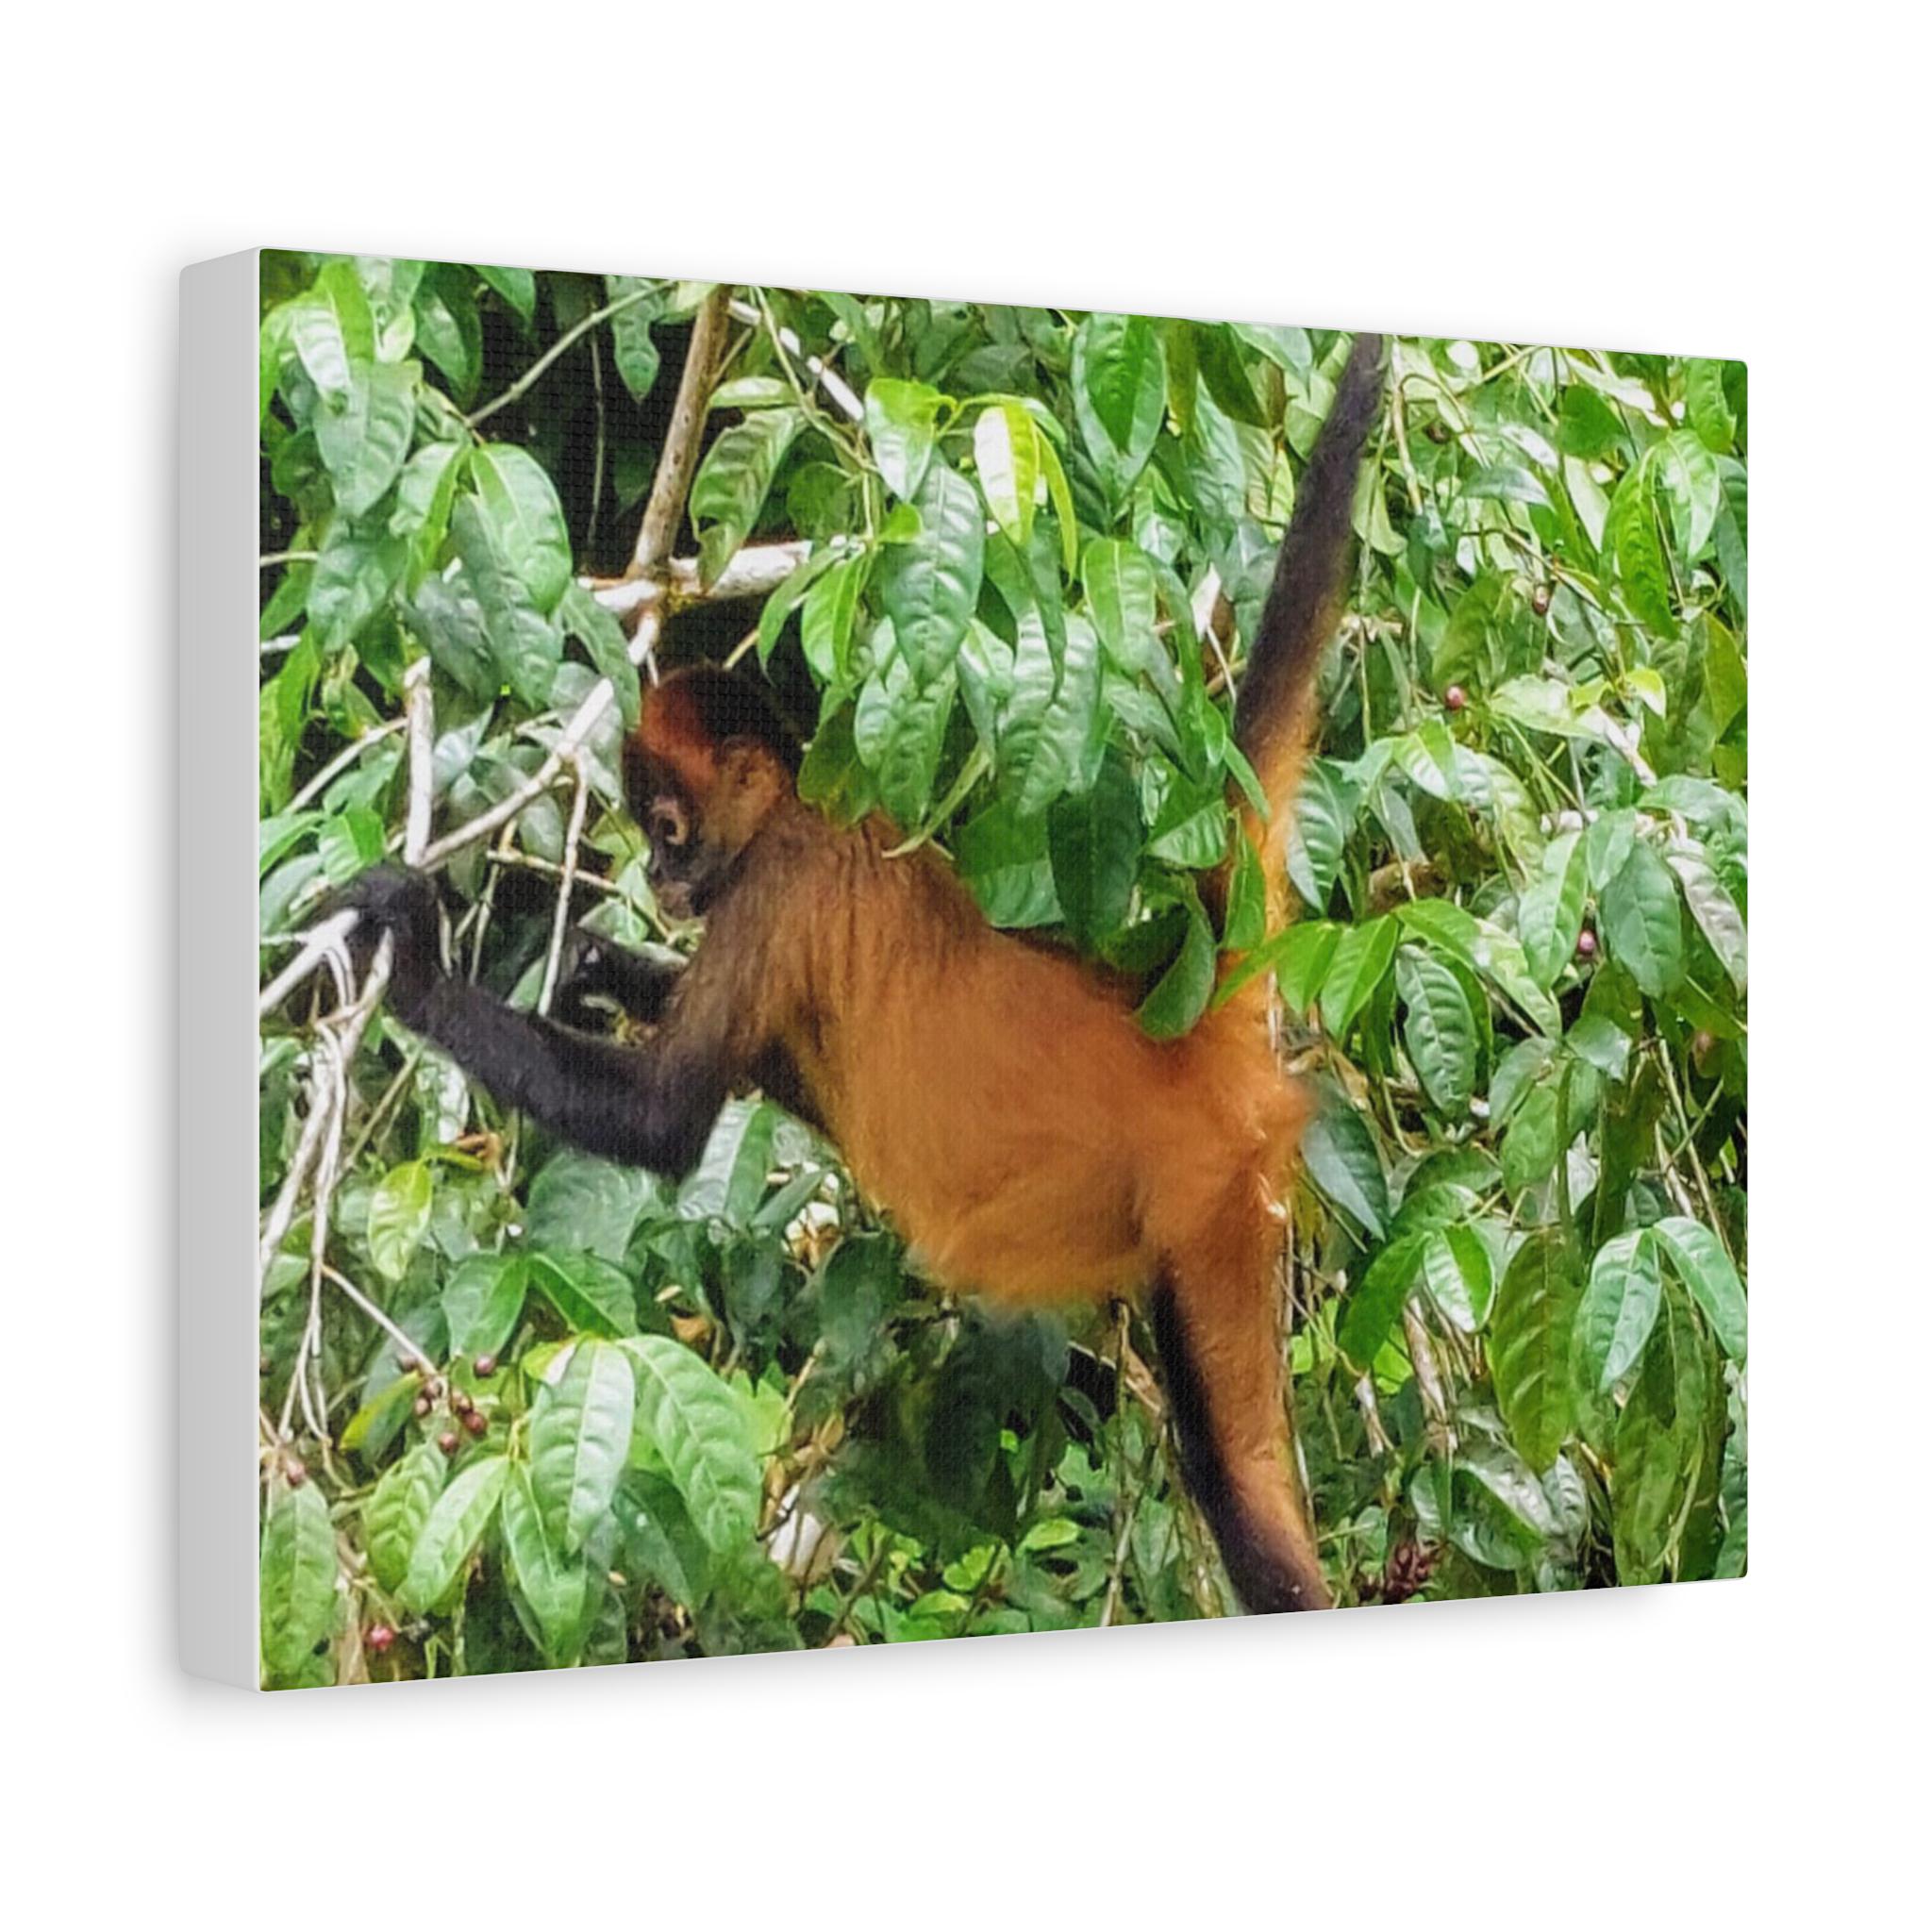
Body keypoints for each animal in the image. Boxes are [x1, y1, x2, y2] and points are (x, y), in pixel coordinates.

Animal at [343, 331, 1387, 1615]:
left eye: (671, 829)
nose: (660, 880)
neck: (806, 815)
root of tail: (1172, 1033)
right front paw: (603, 964)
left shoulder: (773, 889)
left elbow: (665, 1118)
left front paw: (416, 968)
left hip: (1207, 1199)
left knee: (1232, 1482)